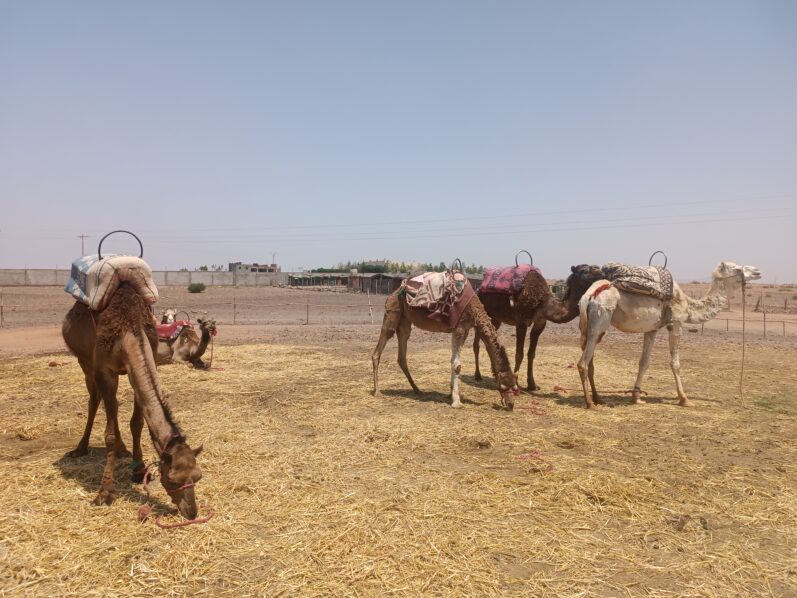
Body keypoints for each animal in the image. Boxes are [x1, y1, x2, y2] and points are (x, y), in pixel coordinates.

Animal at [62, 283, 204, 518]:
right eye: (172, 479)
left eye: (197, 476)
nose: (191, 512)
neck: (130, 331)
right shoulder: (104, 371)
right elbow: (109, 434)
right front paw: (104, 493)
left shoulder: (133, 371)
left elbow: (137, 423)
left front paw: (138, 470)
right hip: (85, 362)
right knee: (95, 400)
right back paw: (80, 448)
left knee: (111, 405)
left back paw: (122, 450)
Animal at [372, 285, 520, 409]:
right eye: (503, 386)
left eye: (515, 386)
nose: (511, 404)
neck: (474, 309)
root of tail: (391, 295)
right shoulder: (459, 328)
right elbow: (457, 365)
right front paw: (456, 401)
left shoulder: (464, 330)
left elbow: (453, 361)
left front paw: (450, 394)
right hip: (393, 312)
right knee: (378, 349)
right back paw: (377, 392)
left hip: (404, 321)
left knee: (402, 354)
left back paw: (417, 389)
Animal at [474, 264, 604, 390]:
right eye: (583, 270)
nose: (600, 271)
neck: (542, 302)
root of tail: (478, 288)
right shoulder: (521, 321)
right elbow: (519, 353)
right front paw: (516, 383)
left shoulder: (540, 323)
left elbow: (531, 354)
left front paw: (532, 384)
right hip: (482, 310)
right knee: (478, 341)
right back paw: (478, 375)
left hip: (496, 318)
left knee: (489, 340)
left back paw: (495, 374)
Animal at [577, 261, 761, 409]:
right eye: (736, 268)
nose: (757, 271)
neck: (688, 304)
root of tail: (588, 296)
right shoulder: (676, 323)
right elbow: (675, 363)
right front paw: (684, 399)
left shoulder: (652, 329)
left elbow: (644, 362)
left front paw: (636, 398)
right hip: (601, 319)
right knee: (583, 363)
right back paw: (590, 403)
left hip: (593, 327)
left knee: (590, 361)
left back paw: (598, 399)